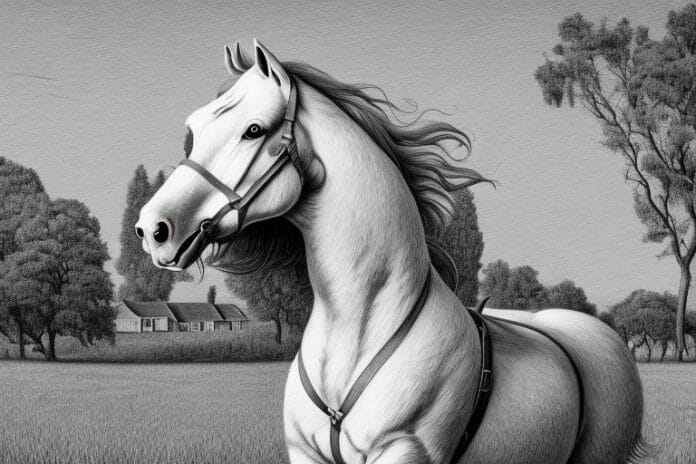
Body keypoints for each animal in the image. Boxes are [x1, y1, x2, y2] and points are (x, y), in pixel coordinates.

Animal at [135, 40, 649, 464]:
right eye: (195, 128)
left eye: (254, 130)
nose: (153, 229)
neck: (359, 326)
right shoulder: (306, 453)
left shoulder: (405, 451)